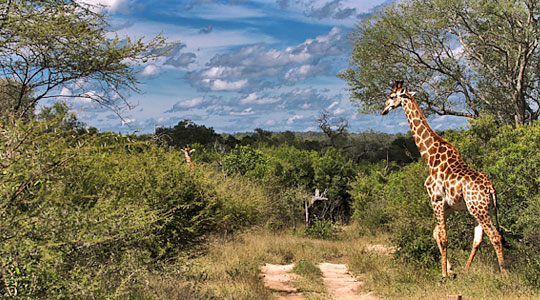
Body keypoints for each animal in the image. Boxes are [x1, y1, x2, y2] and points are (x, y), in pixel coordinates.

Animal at [382, 81, 504, 276]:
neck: (430, 157)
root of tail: (491, 188)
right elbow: (435, 233)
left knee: (495, 236)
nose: (384, 109)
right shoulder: (449, 205)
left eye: (392, 96)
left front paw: (444, 274)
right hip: (482, 209)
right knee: (479, 238)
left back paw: (504, 273)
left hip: (479, 209)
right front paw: (451, 269)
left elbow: (444, 237)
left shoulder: (436, 199)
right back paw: (467, 270)